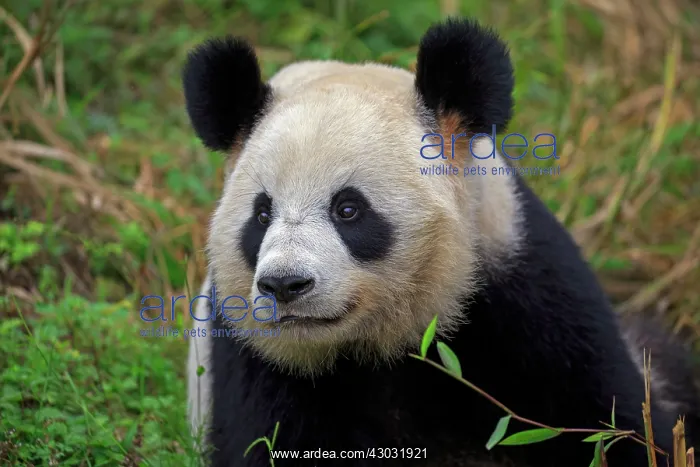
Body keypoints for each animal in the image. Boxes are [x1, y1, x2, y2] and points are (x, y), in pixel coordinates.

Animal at [182, 16, 700, 467]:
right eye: (261, 214)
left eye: (348, 209)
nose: (285, 286)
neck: (380, 345)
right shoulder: (252, 356)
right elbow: (269, 441)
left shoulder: (523, 293)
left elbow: (610, 422)